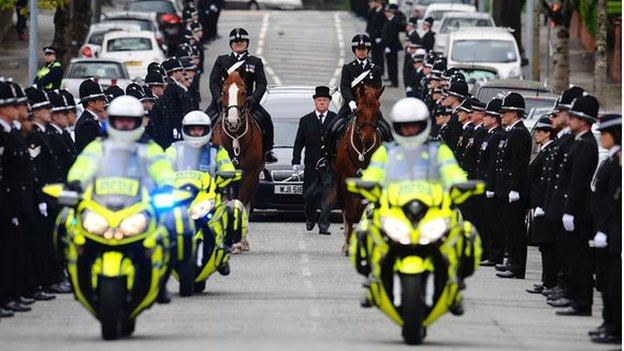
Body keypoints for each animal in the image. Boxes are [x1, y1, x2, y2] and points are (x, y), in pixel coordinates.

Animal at [212, 71, 266, 253]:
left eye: (243, 92)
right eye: (223, 91)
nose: (233, 122)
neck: (235, 139)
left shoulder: (249, 175)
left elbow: (240, 204)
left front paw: (236, 243)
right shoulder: (222, 177)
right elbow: (225, 204)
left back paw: (243, 241)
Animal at [334, 85, 382, 256]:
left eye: (378, 111)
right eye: (359, 111)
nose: (368, 140)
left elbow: (361, 212)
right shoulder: (345, 181)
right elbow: (349, 212)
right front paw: (347, 244)